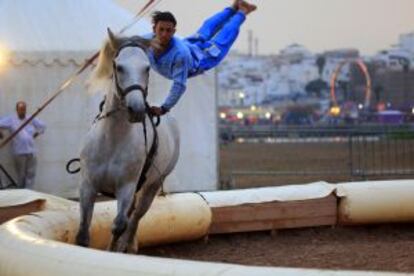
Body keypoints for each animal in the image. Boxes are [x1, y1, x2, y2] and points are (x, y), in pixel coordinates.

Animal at [76, 29, 180, 252]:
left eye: (147, 68)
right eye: (118, 66)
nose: (136, 109)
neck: (112, 140)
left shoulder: (127, 187)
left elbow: (119, 225)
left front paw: (114, 250)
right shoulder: (88, 185)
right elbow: (82, 232)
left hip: (152, 186)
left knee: (136, 217)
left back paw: (129, 246)